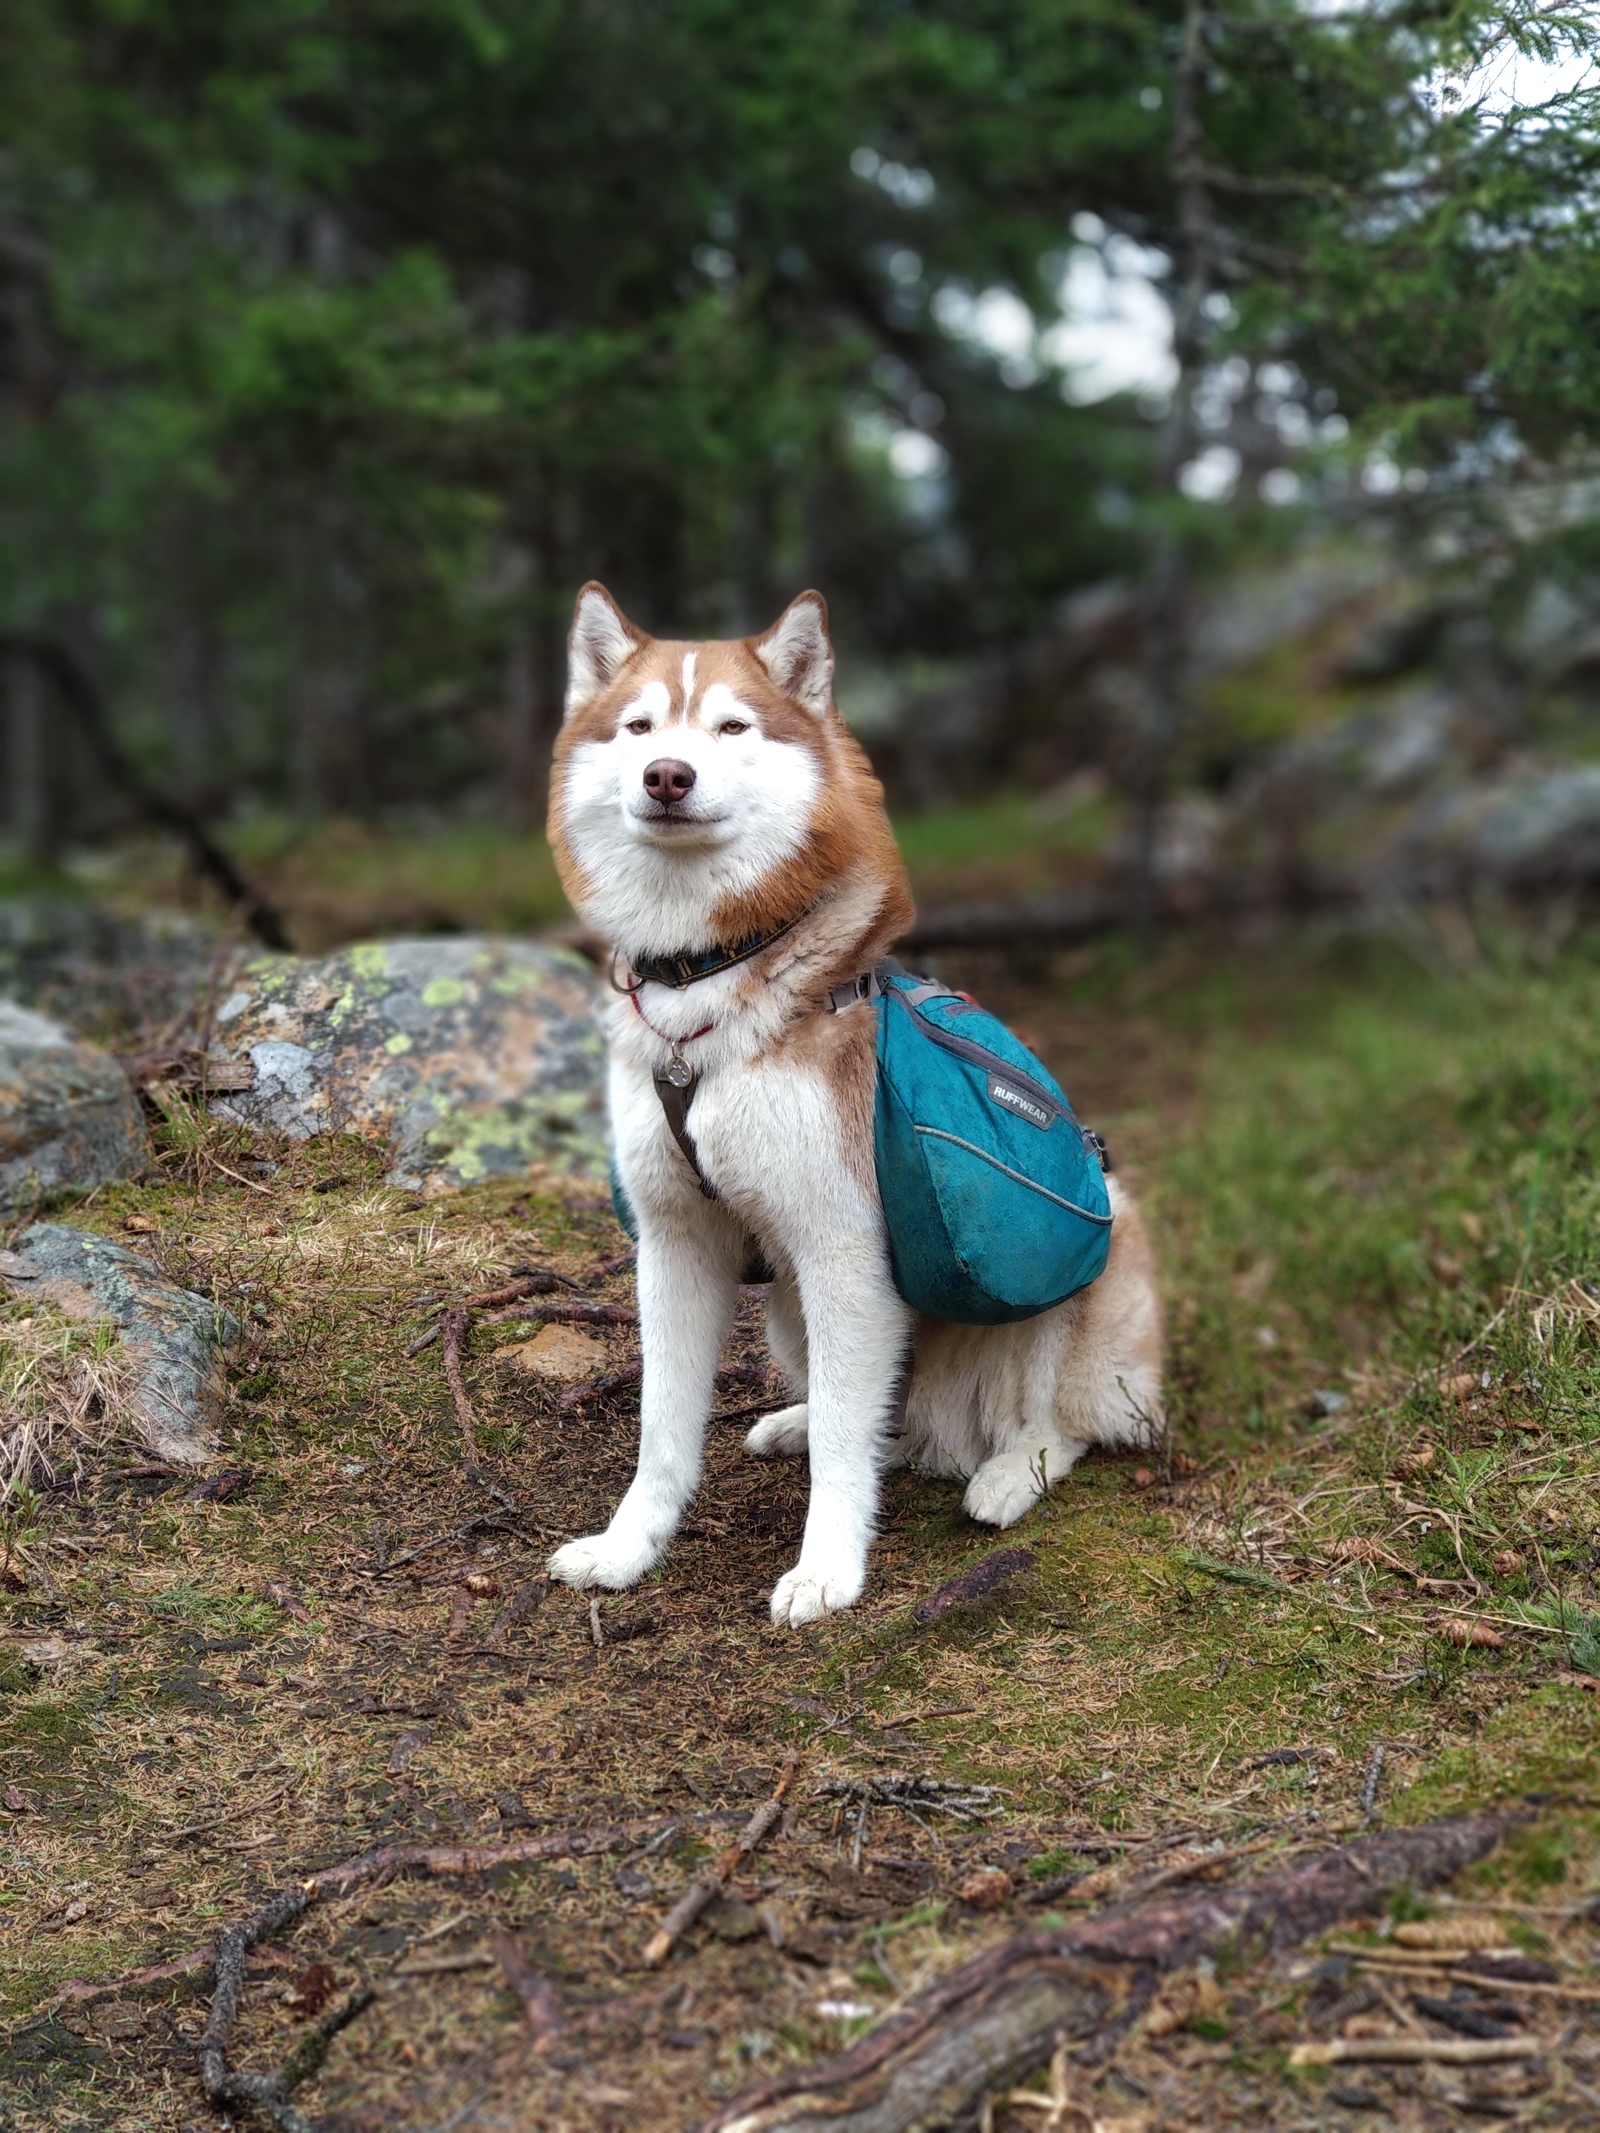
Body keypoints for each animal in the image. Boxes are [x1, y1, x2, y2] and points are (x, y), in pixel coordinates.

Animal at [546, 592, 1160, 1621]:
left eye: (731, 727)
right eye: (637, 728)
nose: (667, 776)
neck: (704, 979)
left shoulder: (841, 1248)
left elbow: (846, 1443)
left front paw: (828, 1568)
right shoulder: (674, 1243)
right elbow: (662, 1430)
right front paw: (628, 1547)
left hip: (1077, 1261)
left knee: (1055, 1422)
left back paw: (1006, 1475)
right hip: (792, 1312)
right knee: (872, 1416)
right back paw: (801, 1422)